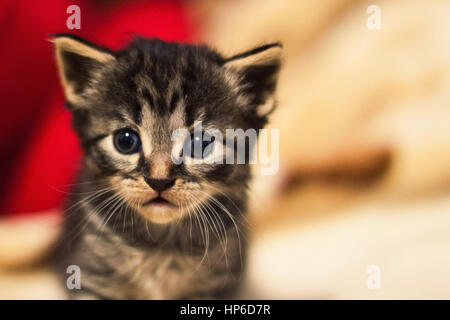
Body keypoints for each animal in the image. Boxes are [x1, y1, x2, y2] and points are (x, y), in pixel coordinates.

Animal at [51, 35, 282, 300]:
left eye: (200, 144)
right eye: (125, 141)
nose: (159, 180)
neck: (161, 246)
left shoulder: (218, 284)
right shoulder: (93, 276)